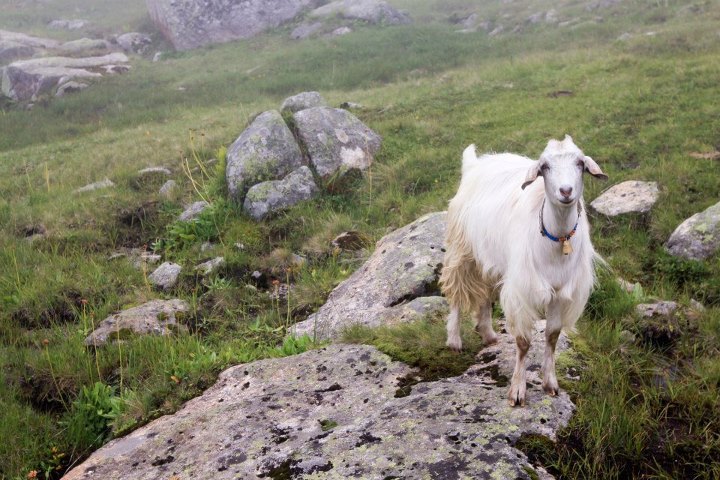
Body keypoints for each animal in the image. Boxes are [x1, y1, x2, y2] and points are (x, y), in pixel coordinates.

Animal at [438, 134, 608, 404]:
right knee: (457, 291)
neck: (556, 240)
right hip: (462, 249)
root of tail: (475, 164)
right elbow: (523, 341)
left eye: (580, 163)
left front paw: (550, 383)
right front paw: (517, 390)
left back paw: (488, 334)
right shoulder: (522, 289)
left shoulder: (560, 291)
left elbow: (552, 336)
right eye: (544, 166)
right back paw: (454, 340)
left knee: (485, 293)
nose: (566, 191)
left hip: (492, 259)